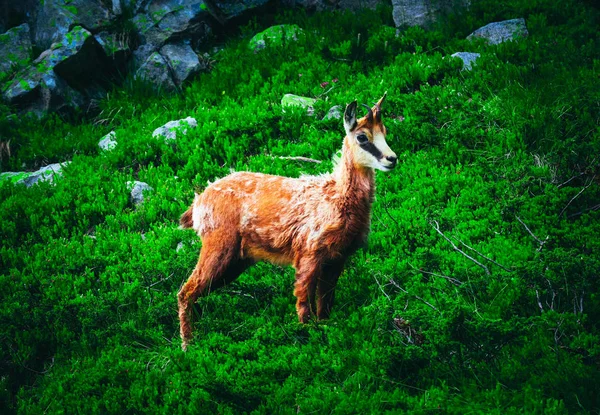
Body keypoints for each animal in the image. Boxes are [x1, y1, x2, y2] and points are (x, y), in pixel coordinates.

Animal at [177, 95, 394, 352]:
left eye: (385, 131)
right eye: (362, 137)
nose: (392, 159)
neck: (335, 197)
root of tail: (198, 202)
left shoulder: (337, 257)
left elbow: (325, 301)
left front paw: (325, 328)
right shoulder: (309, 252)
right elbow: (303, 296)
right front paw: (306, 333)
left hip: (236, 261)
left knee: (197, 291)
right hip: (218, 245)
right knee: (186, 291)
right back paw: (188, 345)